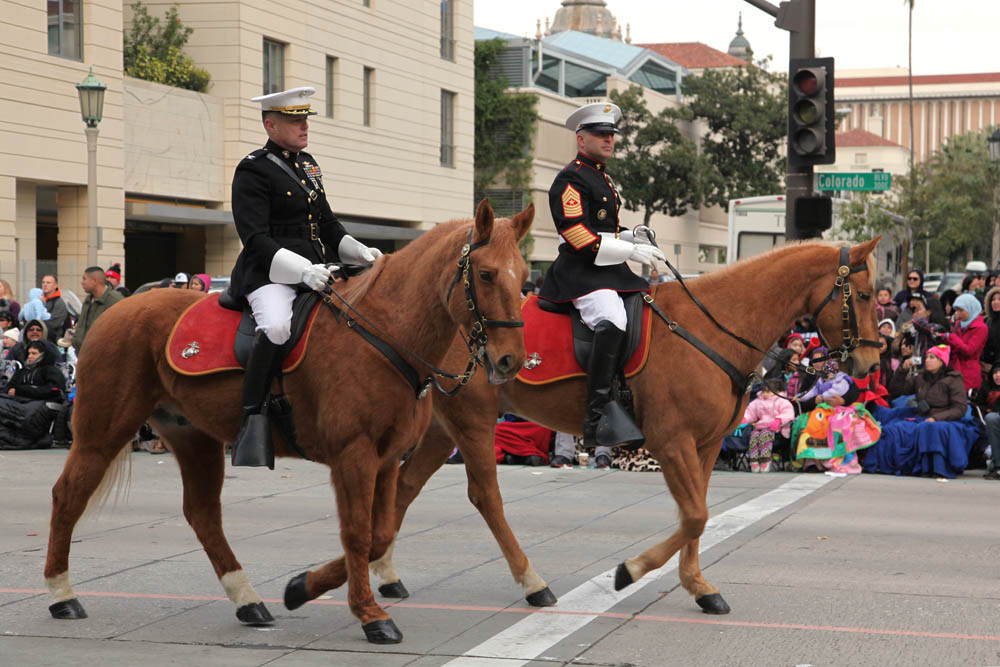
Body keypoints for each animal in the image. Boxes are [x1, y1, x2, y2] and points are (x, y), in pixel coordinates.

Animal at [42, 201, 532, 644]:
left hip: (193, 436)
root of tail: (115, 311)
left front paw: (301, 588)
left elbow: (380, 533)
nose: (510, 360)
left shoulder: (388, 457)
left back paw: (248, 600)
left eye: (525, 275)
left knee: (203, 514)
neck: (383, 334)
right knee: (68, 496)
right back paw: (61, 595)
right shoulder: (354, 455)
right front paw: (370, 614)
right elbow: (358, 534)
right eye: (486, 274)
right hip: (102, 430)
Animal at [330, 237, 884, 612]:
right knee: (484, 496)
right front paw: (629, 571)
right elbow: (695, 516)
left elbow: (698, 517)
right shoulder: (671, 441)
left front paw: (698, 586)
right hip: (472, 421)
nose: (868, 364)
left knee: (404, 487)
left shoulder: (704, 447)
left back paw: (384, 572)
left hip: (442, 426)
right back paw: (532, 582)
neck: (711, 327)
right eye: (860, 295)